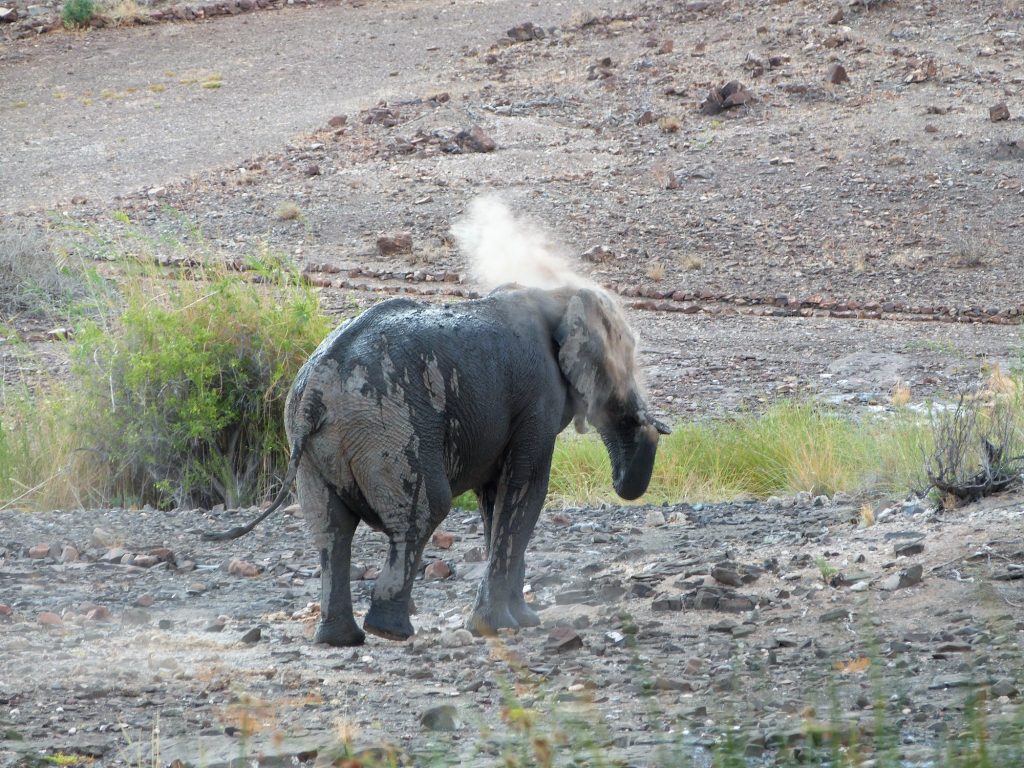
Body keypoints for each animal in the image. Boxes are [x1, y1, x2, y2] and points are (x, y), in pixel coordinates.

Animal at [207, 286, 671, 647]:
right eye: (627, 357)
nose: (655, 427)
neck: (558, 293)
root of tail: (315, 390)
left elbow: (495, 500)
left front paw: (521, 623)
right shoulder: (538, 397)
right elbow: (525, 489)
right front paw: (495, 627)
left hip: (318, 448)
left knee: (330, 531)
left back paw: (341, 639)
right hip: (388, 426)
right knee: (423, 510)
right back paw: (390, 632)